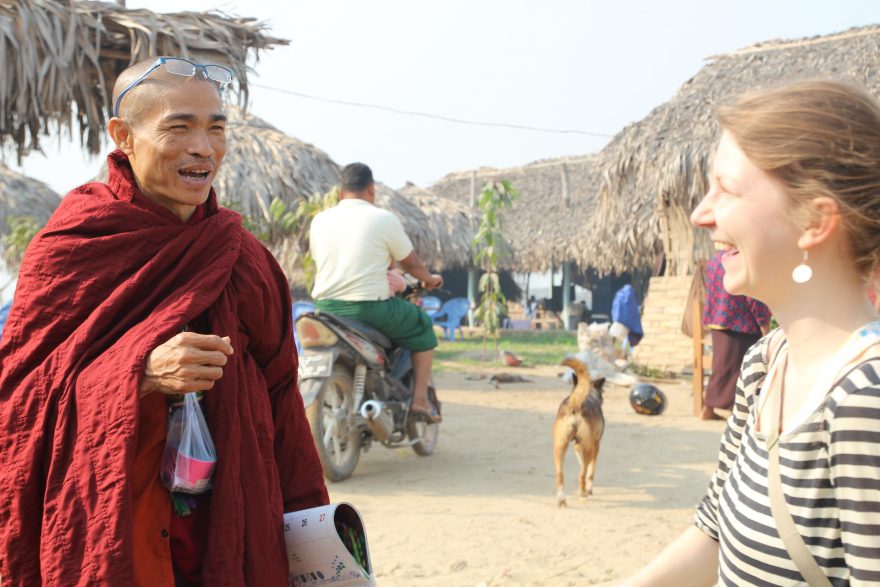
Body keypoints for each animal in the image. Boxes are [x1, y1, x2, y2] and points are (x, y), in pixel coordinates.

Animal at [552, 356, 604, 508]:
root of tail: (575, 404)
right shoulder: (595, 445)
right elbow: (590, 471)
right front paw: (590, 489)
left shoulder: (577, 446)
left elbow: (582, 464)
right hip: (588, 447)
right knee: (582, 474)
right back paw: (583, 493)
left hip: (559, 447)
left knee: (560, 476)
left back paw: (561, 500)